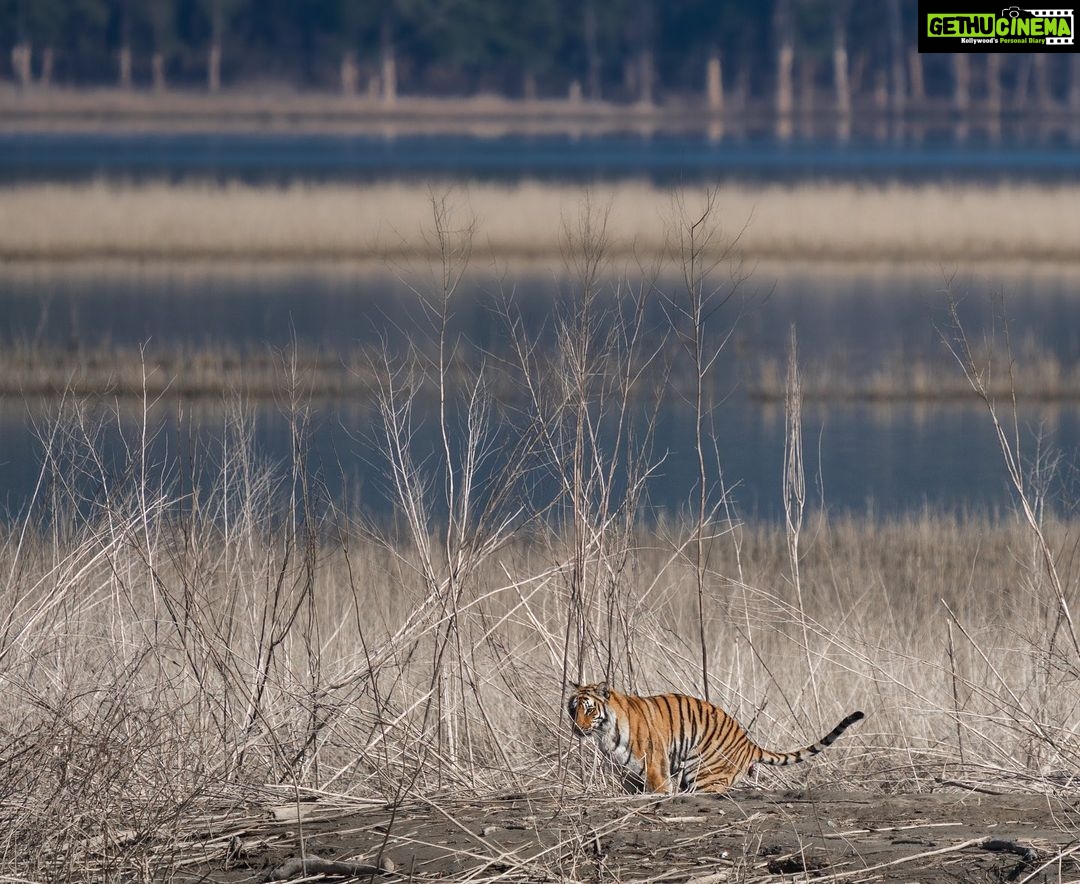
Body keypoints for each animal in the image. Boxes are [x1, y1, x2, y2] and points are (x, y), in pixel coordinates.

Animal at [567, 682, 864, 794]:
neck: (605, 732)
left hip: (703, 773)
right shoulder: (628, 772)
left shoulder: (655, 767)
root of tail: (749, 743)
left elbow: (658, 789)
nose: (577, 728)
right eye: (573, 709)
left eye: (589, 709)